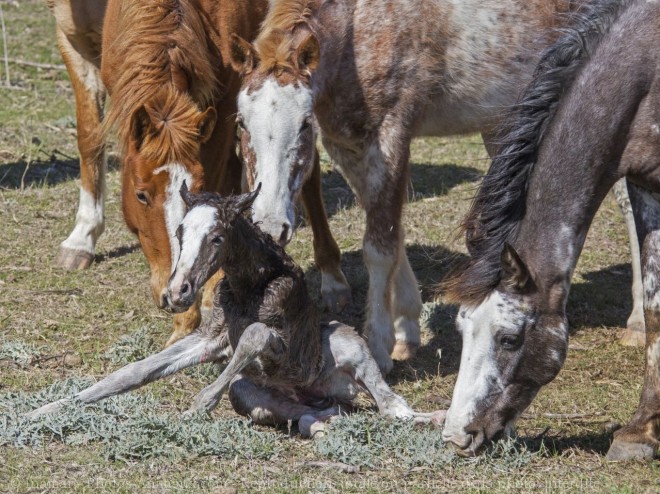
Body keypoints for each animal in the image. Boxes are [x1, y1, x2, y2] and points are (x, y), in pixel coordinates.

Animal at [28, 185, 446, 432]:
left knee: (392, 407)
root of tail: (329, 394)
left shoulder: (280, 345)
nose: (177, 292)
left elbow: (254, 334)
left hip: (350, 348)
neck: (249, 288)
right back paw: (320, 424)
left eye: (216, 237)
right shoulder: (210, 339)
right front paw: (43, 410)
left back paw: (439, 420)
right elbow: (131, 373)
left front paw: (196, 408)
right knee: (308, 413)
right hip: (251, 393)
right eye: (179, 232)